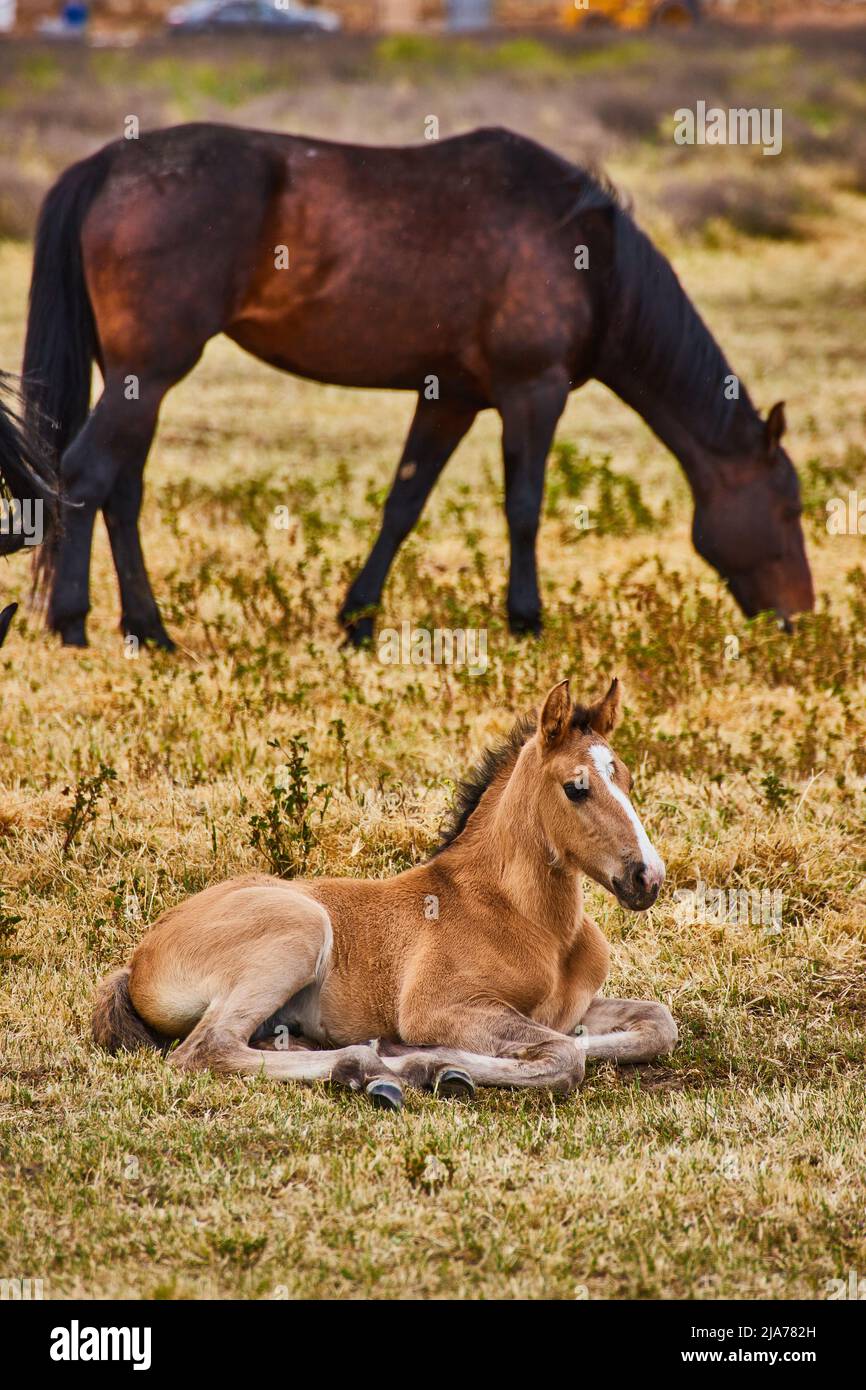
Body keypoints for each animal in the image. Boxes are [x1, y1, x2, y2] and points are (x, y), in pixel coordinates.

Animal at [23, 124, 813, 650]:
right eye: (788, 507)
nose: (799, 614)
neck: (592, 258)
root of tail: (109, 163)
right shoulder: (534, 392)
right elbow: (524, 507)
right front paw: (526, 620)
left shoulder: (451, 398)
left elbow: (404, 503)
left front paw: (359, 622)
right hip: (150, 372)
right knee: (86, 474)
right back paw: (72, 623)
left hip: (133, 382)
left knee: (123, 490)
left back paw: (149, 629)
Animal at [92, 676, 677, 1109]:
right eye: (576, 788)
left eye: (625, 778)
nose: (647, 877)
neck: (532, 921)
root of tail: (138, 959)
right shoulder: (440, 1007)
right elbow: (562, 1057)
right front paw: (435, 1064)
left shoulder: (573, 1007)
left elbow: (655, 1025)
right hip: (299, 928)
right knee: (206, 1049)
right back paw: (371, 1066)